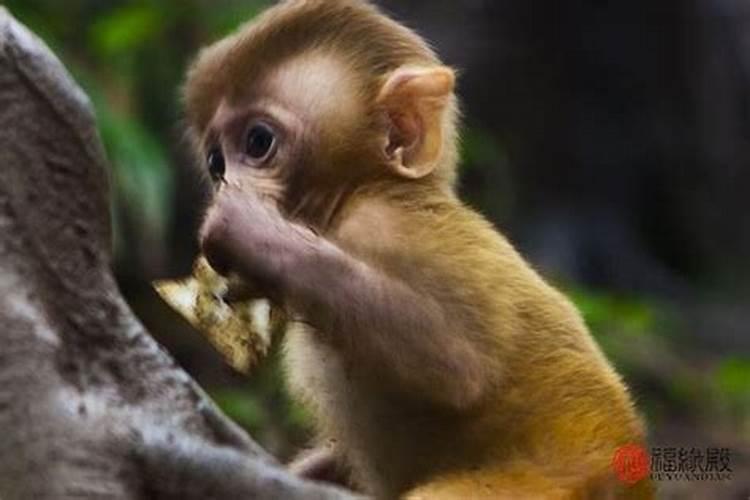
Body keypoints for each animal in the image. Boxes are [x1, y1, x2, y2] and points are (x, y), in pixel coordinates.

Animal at [185, 0, 656, 500]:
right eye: (216, 163)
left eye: (258, 142)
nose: (226, 185)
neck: (357, 194)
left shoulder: (388, 227)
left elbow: (457, 363)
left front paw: (251, 234)